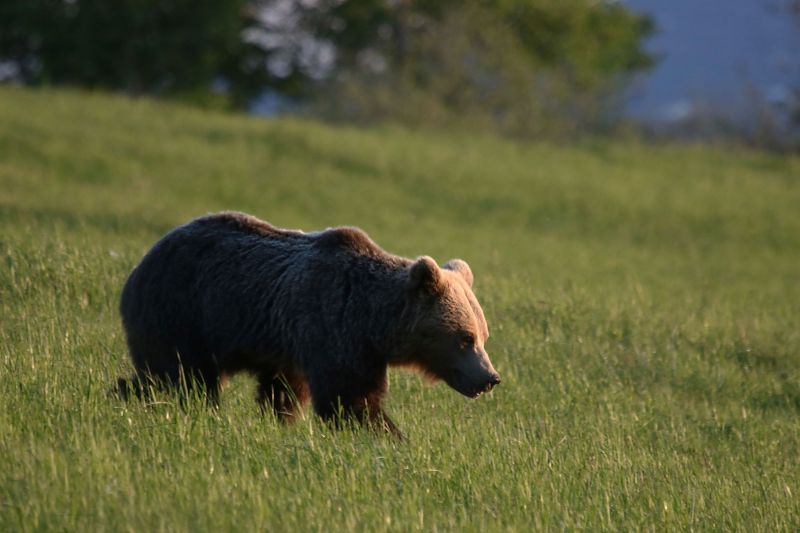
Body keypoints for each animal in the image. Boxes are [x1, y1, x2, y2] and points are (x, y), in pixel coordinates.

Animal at [117, 212, 500, 436]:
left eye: (484, 336)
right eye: (465, 338)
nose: (490, 378)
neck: (374, 325)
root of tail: (140, 265)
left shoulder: (293, 349)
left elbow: (284, 393)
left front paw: (280, 424)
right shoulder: (333, 327)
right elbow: (349, 399)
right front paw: (388, 435)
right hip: (183, 313)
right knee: (182, 377)